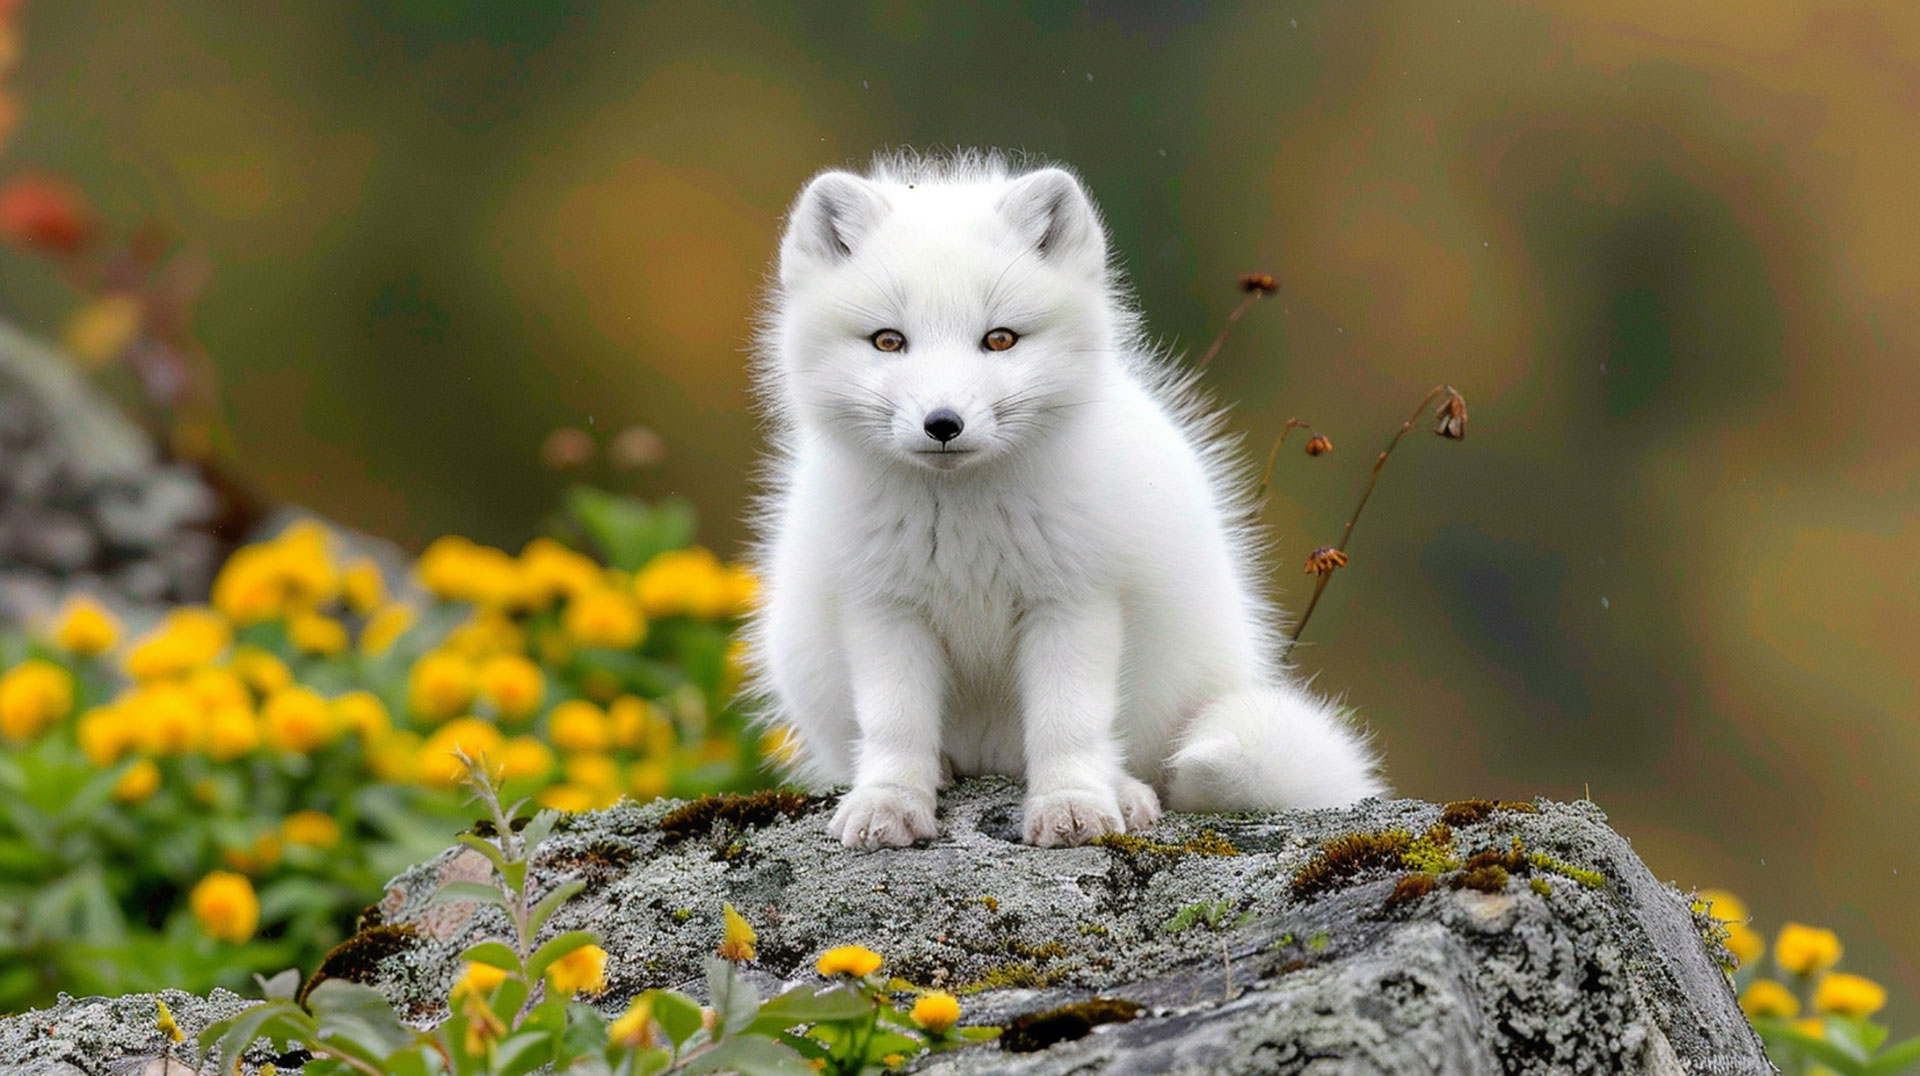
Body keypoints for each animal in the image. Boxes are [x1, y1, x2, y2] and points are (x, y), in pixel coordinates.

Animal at [741, 153, 1390, 849]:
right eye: (888, 341)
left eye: (1000, 339)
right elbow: (895, 726)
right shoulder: (884, 610)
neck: (966, 525)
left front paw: (1073, 807)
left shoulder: (1074, 603)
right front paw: (888, 803)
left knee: (1137, 760)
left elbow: (1067, 724)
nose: (943, 423)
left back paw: (1127, 794)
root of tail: (992, 759)